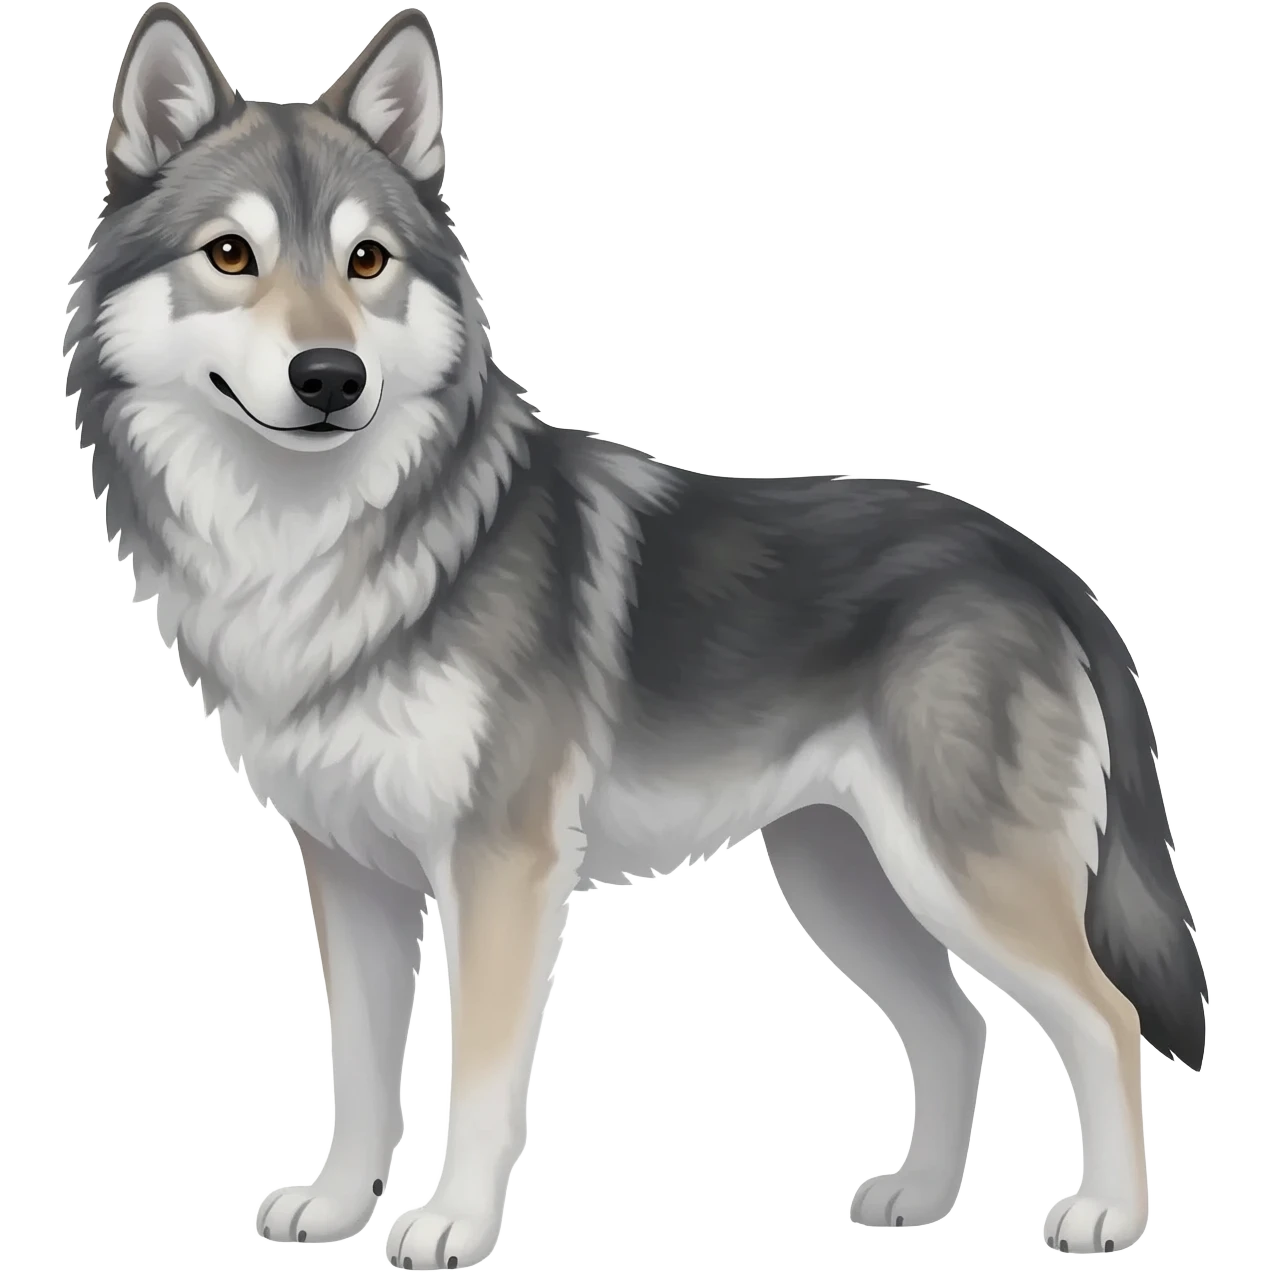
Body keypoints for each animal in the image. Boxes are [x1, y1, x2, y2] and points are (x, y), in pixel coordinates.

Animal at [63, 3, 1207, 1264]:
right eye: (231, 256)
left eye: (367, 262)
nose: (330, 377)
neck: (318, 549)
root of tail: (1033, 561)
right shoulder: (351, 873)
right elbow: (360, 1071)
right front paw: (335, 1204)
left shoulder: (501, 870)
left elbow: (478, 1076)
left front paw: (451, 1225)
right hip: (845, 883)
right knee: (960, 1025)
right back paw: (918, 1197)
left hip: (957, 877)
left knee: (1104, 1017)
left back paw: (1108, 1214)